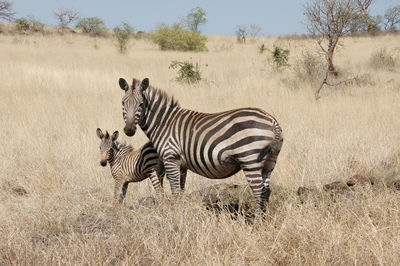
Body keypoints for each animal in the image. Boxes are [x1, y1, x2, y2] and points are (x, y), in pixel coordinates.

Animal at [117, 77, 282, 214]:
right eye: (123, 103)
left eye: (141, 104)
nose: (129, 130)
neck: (164, 122)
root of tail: (272, 120)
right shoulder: (182, 164)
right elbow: (181, 191)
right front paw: (180, 213)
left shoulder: (170, 158)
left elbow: (175, 192)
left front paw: (175, 216)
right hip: (269, 162)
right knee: (266, 191)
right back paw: (265, 220)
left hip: (250, 159)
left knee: (258, 191)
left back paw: (257, 221)